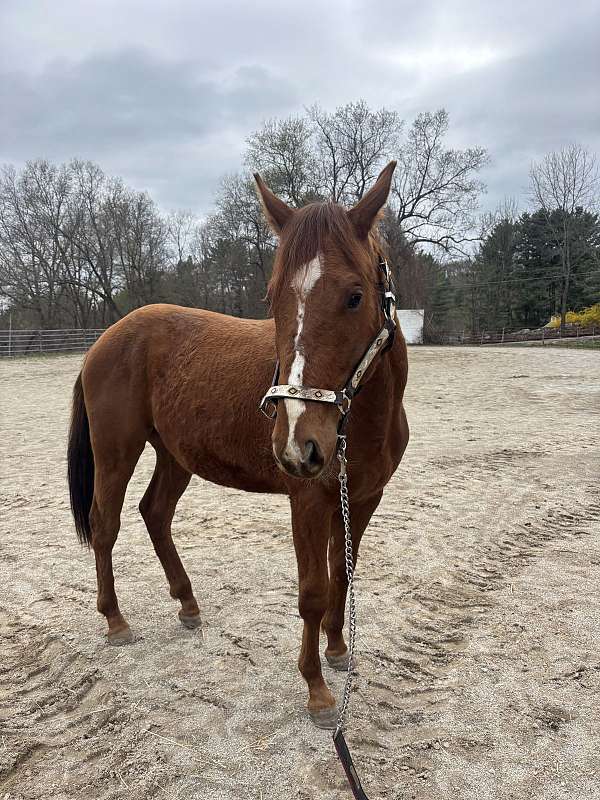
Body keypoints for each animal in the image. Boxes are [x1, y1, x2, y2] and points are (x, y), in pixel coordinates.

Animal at [67, 161, 409, 729]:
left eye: (355, 295)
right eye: (272, 298)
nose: (297, 445)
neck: (360, 419)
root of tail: (105, 339)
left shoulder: (362, 498)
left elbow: (343, 573)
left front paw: (338, 649)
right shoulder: (308, 499)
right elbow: (313, 591)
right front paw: (317, 691)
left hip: (174, 455)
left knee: (154, 512)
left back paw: (187, 605)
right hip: (117, 451)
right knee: (104, 524)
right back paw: (115, 620)